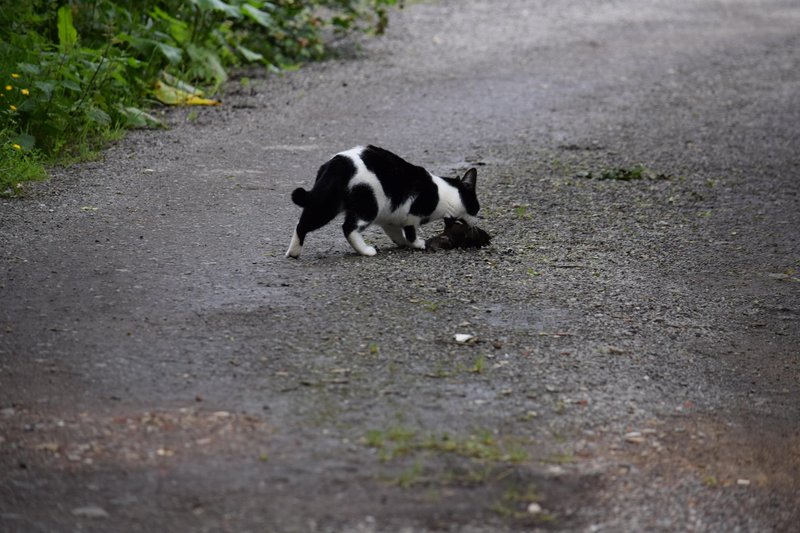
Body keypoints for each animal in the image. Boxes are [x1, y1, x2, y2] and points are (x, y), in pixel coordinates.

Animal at [284, 145, 478, 258]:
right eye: (476, 206)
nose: (478, 218)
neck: (442, 193)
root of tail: (339, 163)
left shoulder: (391, 217)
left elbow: (396, 233)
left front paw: (402, 243)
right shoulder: (412, 212)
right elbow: (411, 232)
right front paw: (417, 244)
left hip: (326, 202)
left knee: (302, 223)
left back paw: (293, 252)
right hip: (368, 204)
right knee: (348, 228)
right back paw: (366, 251)